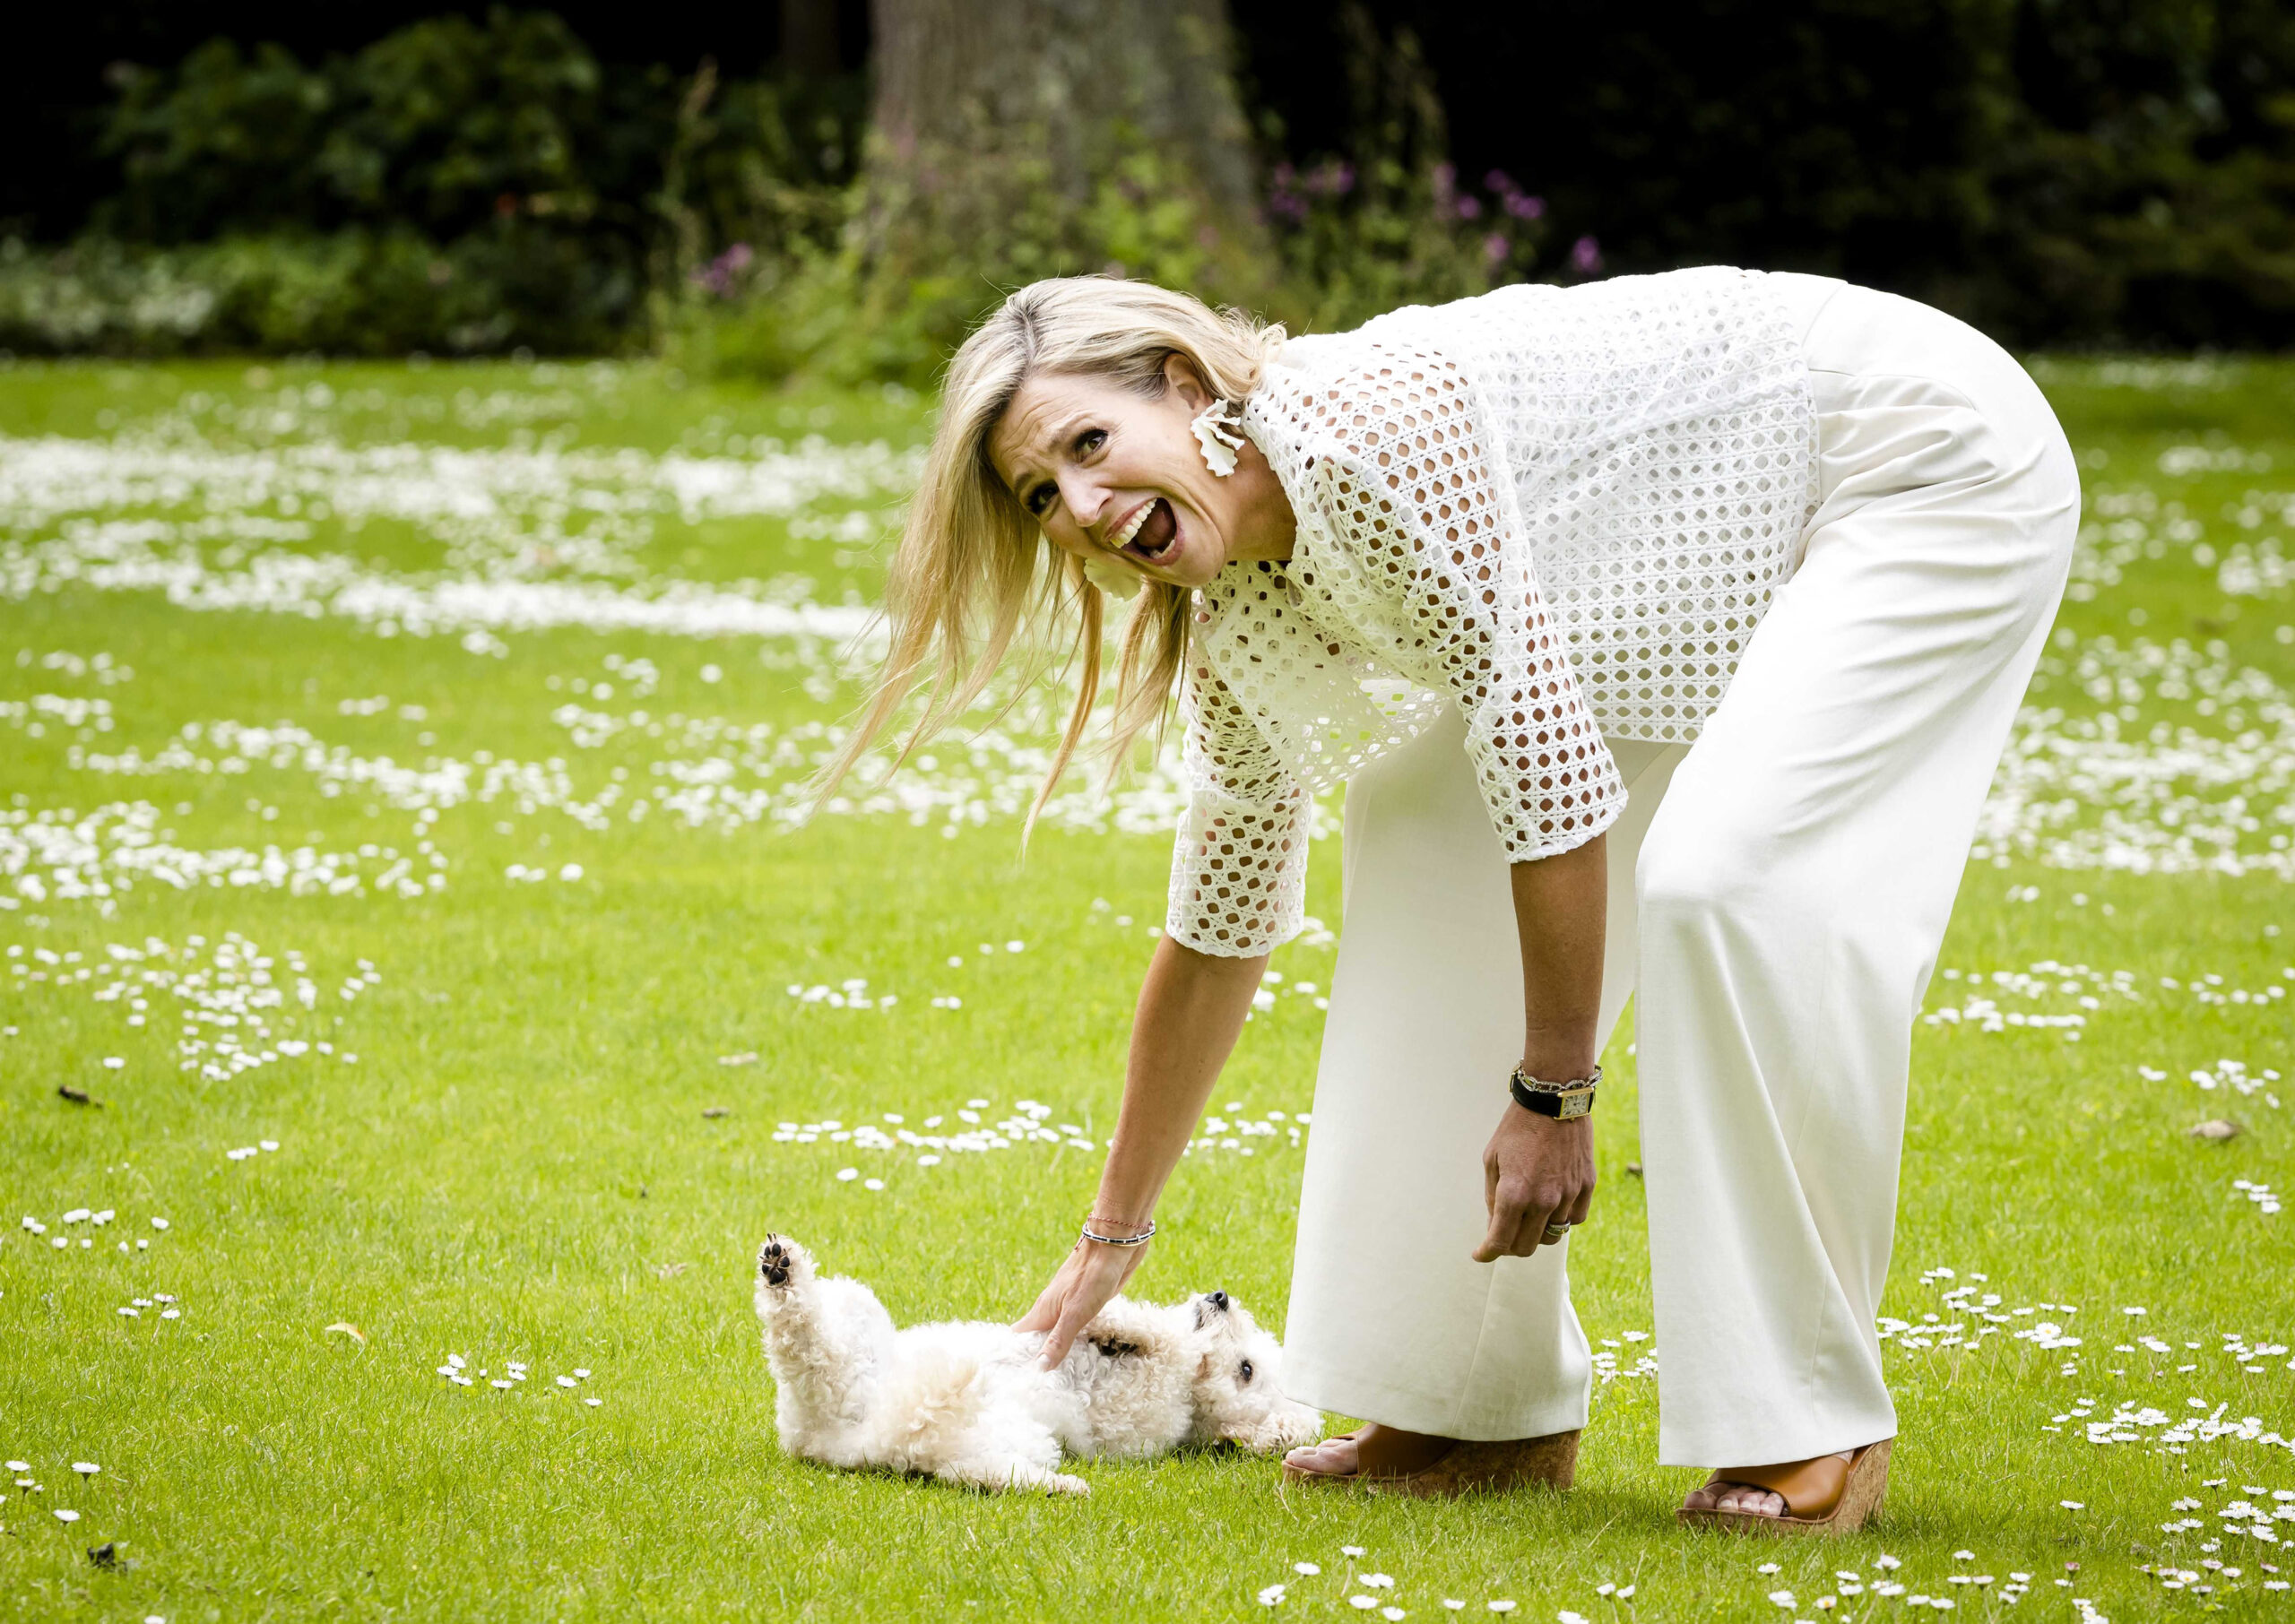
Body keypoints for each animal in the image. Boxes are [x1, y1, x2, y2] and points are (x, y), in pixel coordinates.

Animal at [757, 1239, 1330, 1486]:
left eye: (1245, 1371)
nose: (1220, 1298)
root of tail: (853, 1443)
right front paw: (1120, 1324)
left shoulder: (1139, 1411)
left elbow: (1166, 1351)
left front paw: (1134, 1333)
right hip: (858, 1319)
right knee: (804, 1338)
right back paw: (782, 1271)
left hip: (1006, 1442)